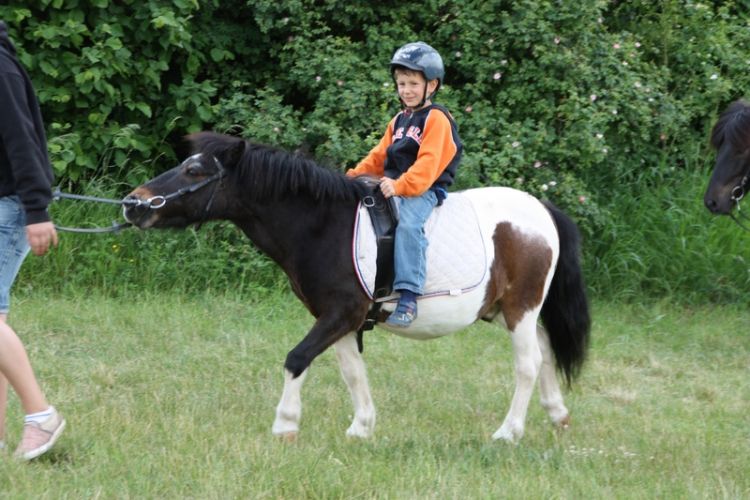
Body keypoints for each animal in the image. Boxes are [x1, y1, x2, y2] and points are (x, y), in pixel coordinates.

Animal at [123, 132, 591, 443]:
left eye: (194, 170)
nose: (132, 204)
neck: (323, 224)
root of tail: (541, 210)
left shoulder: (341, 313)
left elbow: (296, 359)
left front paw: (285, 424)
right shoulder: (339, 318)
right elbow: (351, 371)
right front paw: (361, 427)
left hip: (521, 307)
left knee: (528, 363)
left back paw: (508, 432)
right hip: (502, 310)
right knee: (545, 348)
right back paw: (558, 415)